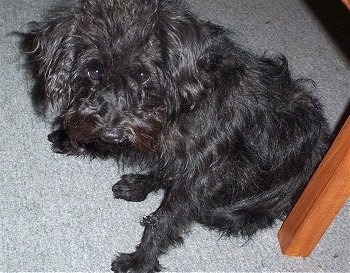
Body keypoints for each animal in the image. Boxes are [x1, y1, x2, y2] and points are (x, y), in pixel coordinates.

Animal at [27, 0, 330, 272]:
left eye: (142, 74)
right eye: (94, 71)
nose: (111, 133)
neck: (181, 102)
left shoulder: (199, 178)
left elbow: (163, 222)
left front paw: (140, 262)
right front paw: (71, 138)